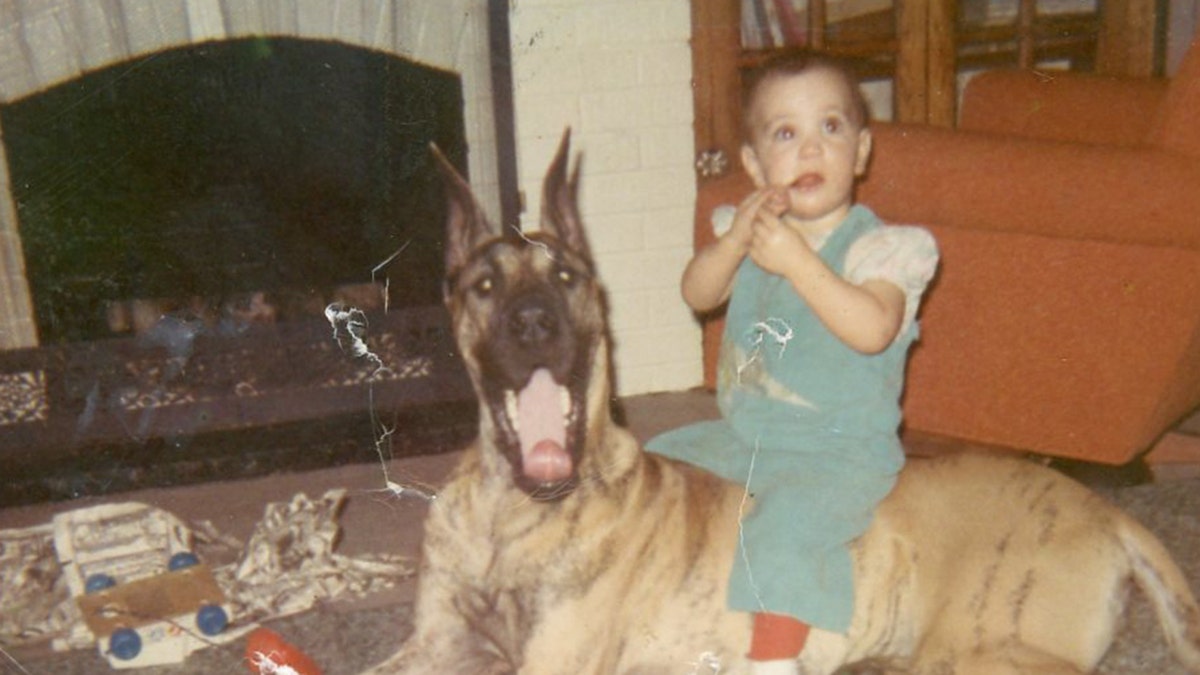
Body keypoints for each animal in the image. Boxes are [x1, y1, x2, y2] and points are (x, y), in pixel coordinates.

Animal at [364, 131, 1200, 672]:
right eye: (483, 284)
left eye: (566, 277)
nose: (533, 321)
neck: (510, 510)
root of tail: (1104, 511)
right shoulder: (434, 643)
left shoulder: (552, 661)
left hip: (982, 649)